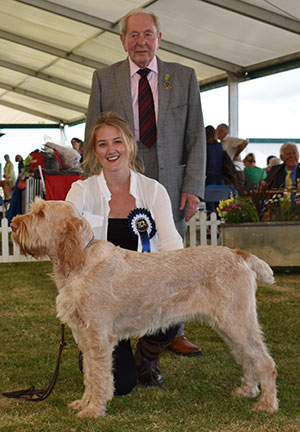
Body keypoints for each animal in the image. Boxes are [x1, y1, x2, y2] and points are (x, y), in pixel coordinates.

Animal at [10, 199, 278, 418]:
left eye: (41, 213)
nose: (12, 224)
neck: (79, 260)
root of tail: (238, 254)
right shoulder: (84, 337)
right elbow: (89, 374)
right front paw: (84, 403)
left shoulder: (98, 338)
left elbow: (100, 377)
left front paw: (94, 410)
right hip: (228, 327)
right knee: (247, 358)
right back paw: (247, 390)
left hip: (238, 322)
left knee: (265, 362)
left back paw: (267, 404)